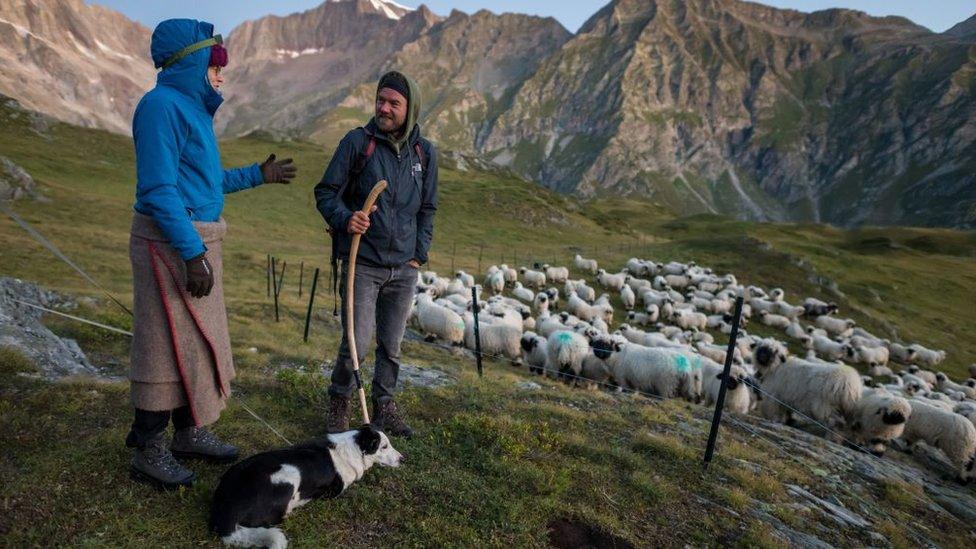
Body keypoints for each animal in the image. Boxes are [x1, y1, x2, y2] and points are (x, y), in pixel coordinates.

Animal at [210, 424, 404, 548]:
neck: (355, 447)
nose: (403, 459)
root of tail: (226, 512)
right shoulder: (335, 491)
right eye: (384, 446)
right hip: (289, 474)